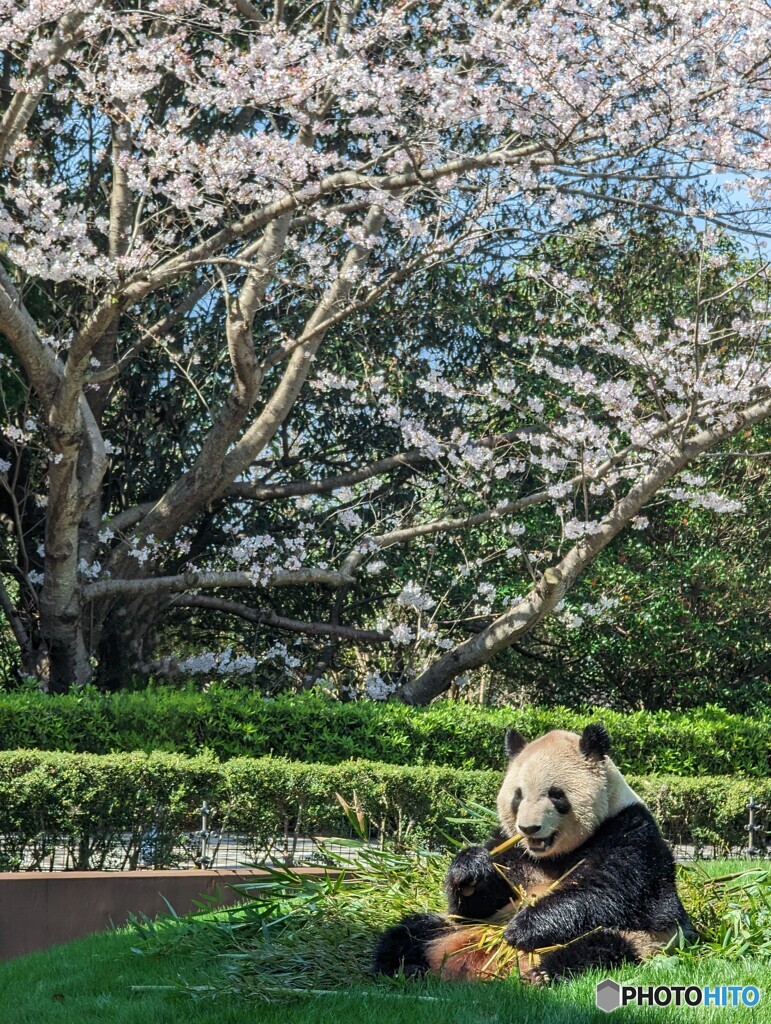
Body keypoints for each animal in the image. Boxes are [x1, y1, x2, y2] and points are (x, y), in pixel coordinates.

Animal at [372, 724, 692, 987]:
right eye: (518, 795)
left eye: (556, 794)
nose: (529, 828)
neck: (553, 854)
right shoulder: (510, 846)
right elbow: (482, 901)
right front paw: (470, 869)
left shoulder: (631, 833)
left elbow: (607, 892)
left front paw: (522, 928)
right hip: (451, 927)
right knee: (409, 931)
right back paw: (407, 969)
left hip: (643, 939)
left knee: (599, 947)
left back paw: (541, 973)